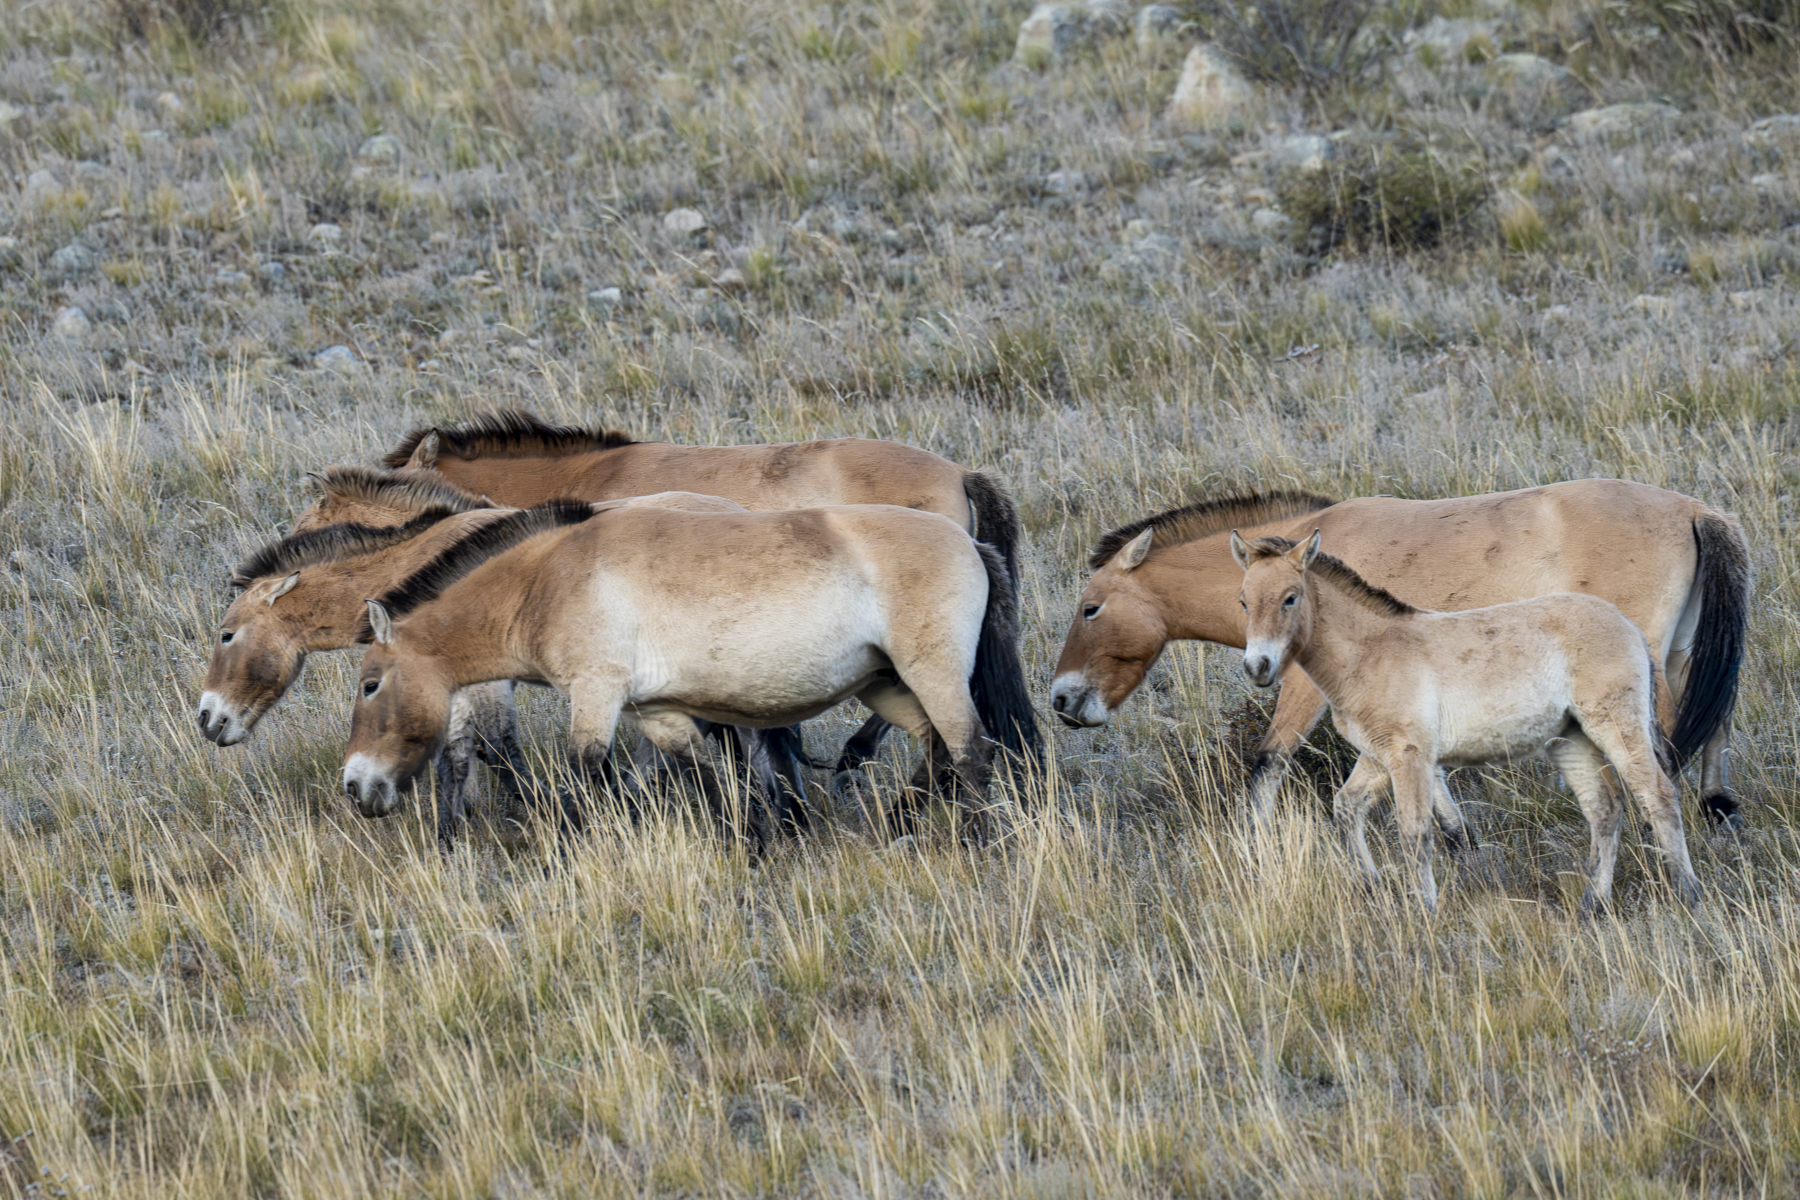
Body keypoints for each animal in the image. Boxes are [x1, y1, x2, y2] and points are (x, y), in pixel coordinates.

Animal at [196, 488, 764, 842]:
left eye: (227, 634)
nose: (208, 720)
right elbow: (462, 755)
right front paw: (454, 831)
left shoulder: (482, 685)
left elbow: (491, 752)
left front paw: (534, 811)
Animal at [339, 502, 1041, 846]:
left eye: (370, 684)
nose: (355, 787)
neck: (548, 579)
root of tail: (969, 541)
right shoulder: (657, 712)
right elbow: (706, 779)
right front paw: (753, 845)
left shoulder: (596, 695)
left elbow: (581, 777)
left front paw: (559, 853)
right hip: (886, 683)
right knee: (936, 749)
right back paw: (900, 825)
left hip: (932, 673)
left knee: (971, 750)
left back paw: (974, 840)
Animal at [1049, 481, 1750, 832]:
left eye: (1090, 608)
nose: (1061, 699)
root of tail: (1697, 509)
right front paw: (1456, 834)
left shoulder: (1305, 687)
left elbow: (1267, 761)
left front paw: (1256, 847)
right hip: (1680, 652)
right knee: (1714, 717)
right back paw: (1716, 806)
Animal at [1233, 530, 1701, 913]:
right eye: (1243, 601)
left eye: (1290, 597)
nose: (1258, 667)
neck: (1371, 653)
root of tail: (1629, 627)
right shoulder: (1379, 756)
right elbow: (1347, 809)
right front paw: (1371, 886)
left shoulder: (1409, 756)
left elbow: (1414, 832)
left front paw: (1424, 910)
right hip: (1571, 740)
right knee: (1605, 809)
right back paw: (1593, 905)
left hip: (1615, 725)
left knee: (1657, 795)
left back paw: (1686, 895)